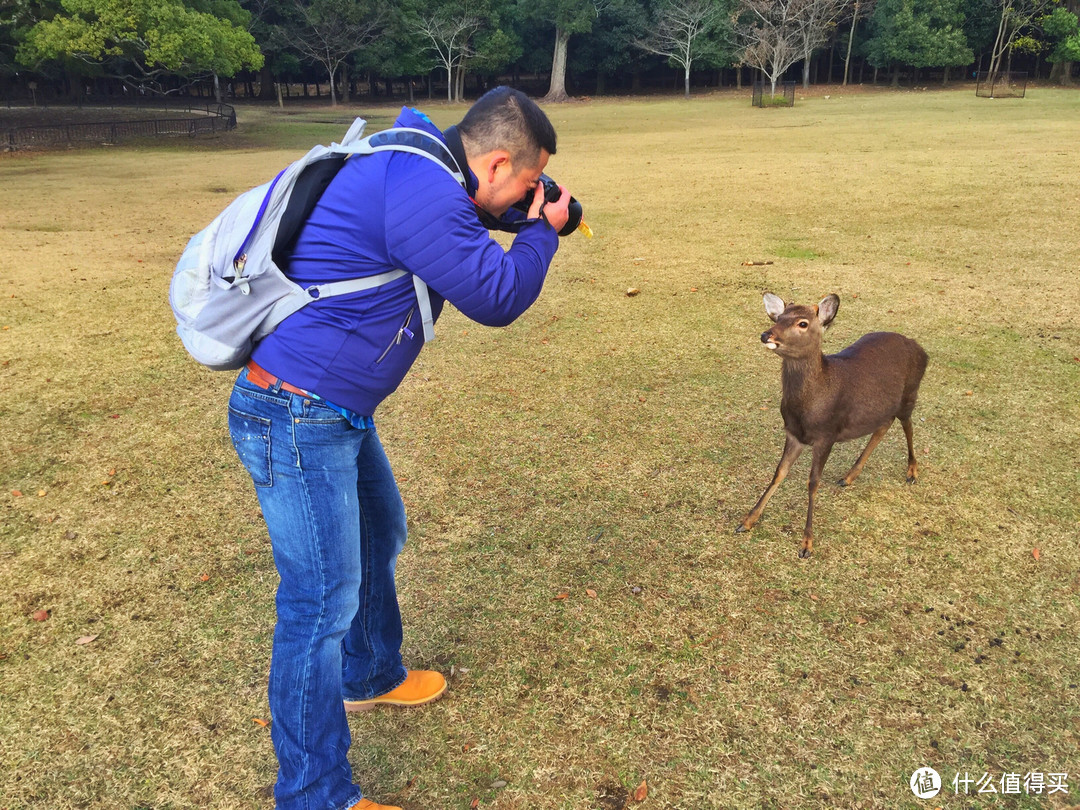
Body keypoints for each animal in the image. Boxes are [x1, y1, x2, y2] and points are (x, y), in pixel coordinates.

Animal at [743, 295, 928, 557]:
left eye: (802, 323)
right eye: (778, 317)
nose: (766, 335)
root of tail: (922, 350)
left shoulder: (827, 434)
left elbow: (812, 482)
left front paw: (807, 544)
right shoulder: (794, 434)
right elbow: (779, 473)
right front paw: (748, 520)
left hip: (909, 394)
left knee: (908, 426)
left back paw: (912, 471)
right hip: (883, 406)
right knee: (884, 424)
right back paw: (849, 476)